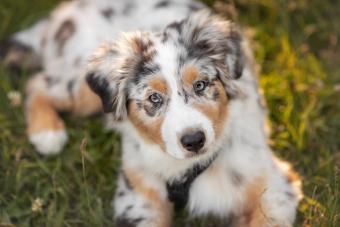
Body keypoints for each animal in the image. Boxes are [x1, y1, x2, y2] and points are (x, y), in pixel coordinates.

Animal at [4, 0, 302, 227]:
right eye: (154, 98)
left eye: (200, 85)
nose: (194, 140)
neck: (188, 169)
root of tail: (69, 9)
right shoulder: (139, 198)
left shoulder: (273, 187)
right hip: (82, 82)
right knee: (38, 84)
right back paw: (47, 134)